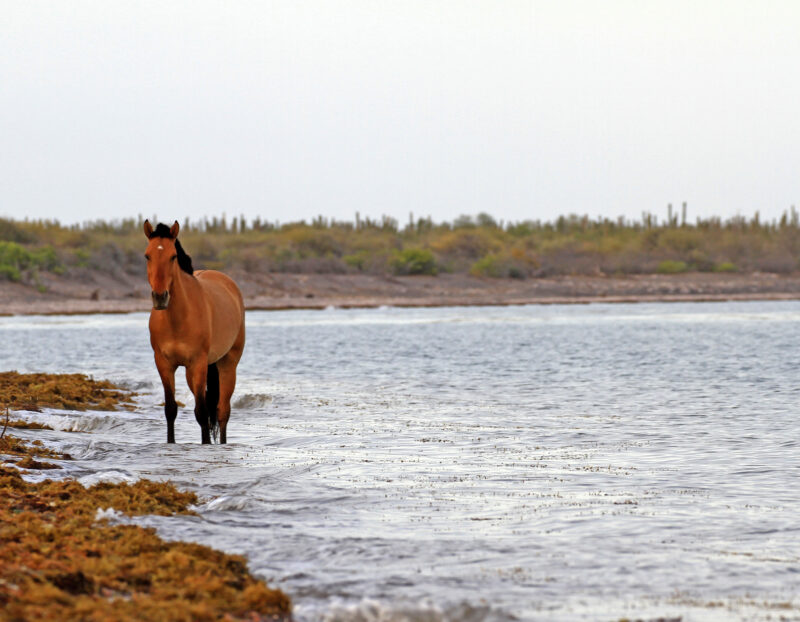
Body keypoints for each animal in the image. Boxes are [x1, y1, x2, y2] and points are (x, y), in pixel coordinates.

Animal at [143, 220, 245, 444]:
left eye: (173, 256)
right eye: (147, 255)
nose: (160, 297)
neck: (177, 320)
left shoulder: (198, 363)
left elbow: (201, 411)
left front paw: (205, 444)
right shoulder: (163, 364)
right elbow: (171, 409)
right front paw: (171, 443)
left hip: (227, 364)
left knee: (222, 411)